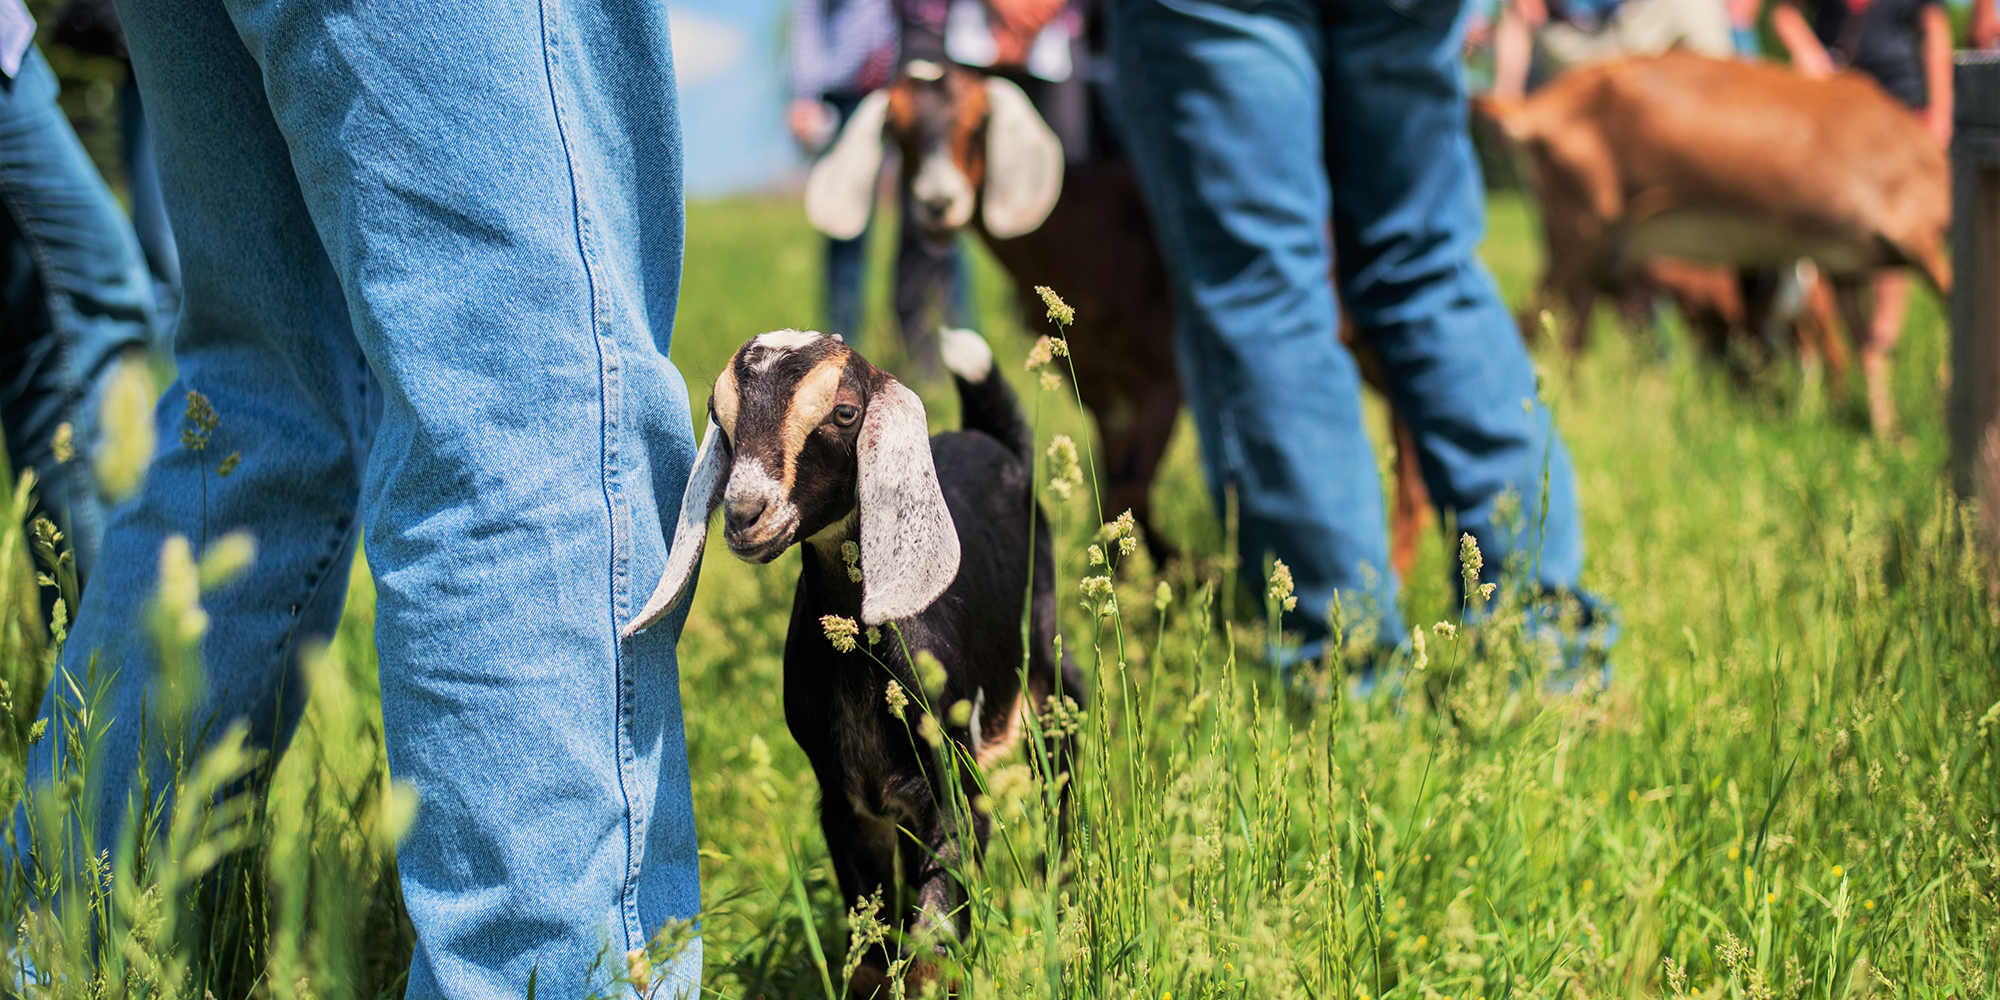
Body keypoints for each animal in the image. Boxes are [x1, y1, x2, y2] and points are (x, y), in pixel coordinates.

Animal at [625, 327, 1083, 996]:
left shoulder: (952, 786)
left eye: (845, 413)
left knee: (1063, 761)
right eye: (720, 415)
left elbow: (931, 947)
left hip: (1046, 675)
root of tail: (996, 445)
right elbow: (870, 948)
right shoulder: (844, 802)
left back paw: (1065, 889)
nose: (743, 513)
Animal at [803, 58, 1438, 577]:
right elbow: (1115, 489)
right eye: (898, 130)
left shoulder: (1162, 378)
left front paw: (1170, 579)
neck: (1092, 228)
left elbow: (1132, 486)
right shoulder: (1101, 387)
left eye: (979, 123)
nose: (938, 203)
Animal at [1476, 53, 1950, 434]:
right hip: (1581, 232)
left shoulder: (1844, 267)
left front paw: (1889, 436)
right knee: (1526, 326)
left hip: (1591, 254)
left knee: (1569, 338)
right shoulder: (1916, 236)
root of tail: (1534, 107)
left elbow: (1869, 351)